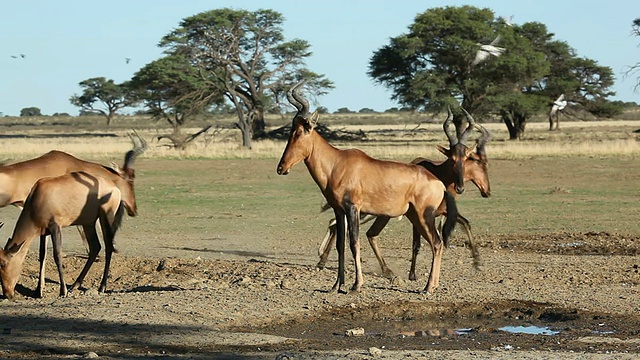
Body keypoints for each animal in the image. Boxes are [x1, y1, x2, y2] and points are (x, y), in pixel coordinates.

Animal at [0, 134, 146, 300]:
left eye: (3, 264)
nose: (7, 293)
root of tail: (112, 187)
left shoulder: (55, 227)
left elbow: (57, 255)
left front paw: (61, 290)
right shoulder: (44, 230)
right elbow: (42, 254)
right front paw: (39, 291)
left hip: (104, 218)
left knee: (108, 246)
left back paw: (101, 286)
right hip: (89, 222)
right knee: (96, 247)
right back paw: (75, 285)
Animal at [278, 82, 458, 296]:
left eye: (300, 131)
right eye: (291, 131)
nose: (281, 168)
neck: (337, 163)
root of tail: (438, 182)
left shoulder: (353, 208)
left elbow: (354, 243)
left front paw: (356, 285)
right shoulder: (339, 210)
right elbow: (340, 244)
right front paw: (336, 285)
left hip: (425, 215)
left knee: (437, 243)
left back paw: (428, 287)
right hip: (414, 216)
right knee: (436, 244)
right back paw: (433, 285)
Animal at [318, 124, 492, 278]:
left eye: (467, 158)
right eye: (480, 163)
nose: (487, 191)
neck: (436, 173)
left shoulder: (441, 212)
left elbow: (465, 223)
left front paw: (477, 262)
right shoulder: (420, 215)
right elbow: (417, 244)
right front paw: (412, 275)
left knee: (349, 228)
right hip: (370, 213)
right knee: (339, 224)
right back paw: (323, 260)